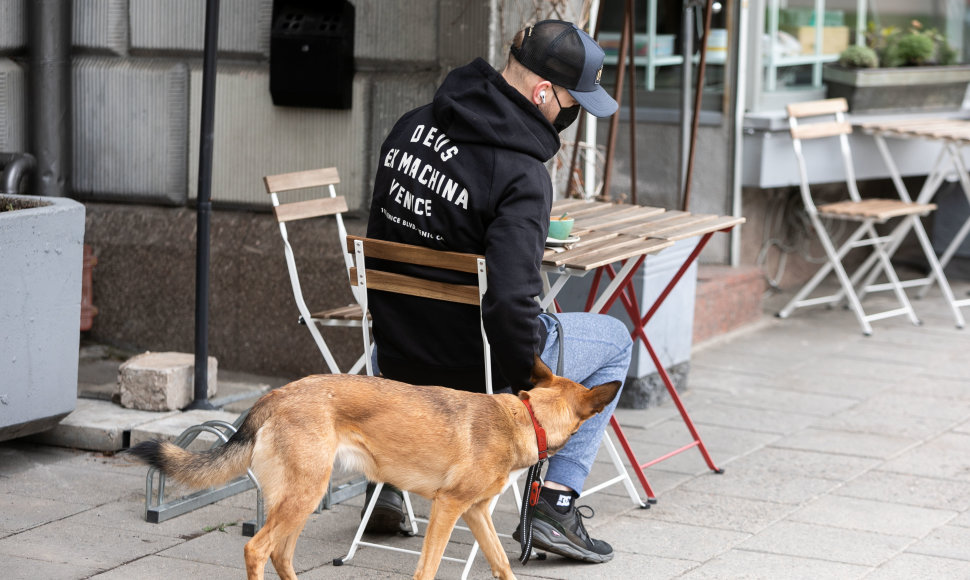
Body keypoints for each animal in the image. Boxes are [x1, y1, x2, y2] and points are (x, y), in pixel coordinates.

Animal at [129, 354, 616, 580]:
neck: (525, 418)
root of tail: (277, 394)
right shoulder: (448, 508)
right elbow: (427, 569)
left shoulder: (477, 514)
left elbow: (502, 566)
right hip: (303, 495)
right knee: (257, 549)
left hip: (300, 500)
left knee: (281, 553)